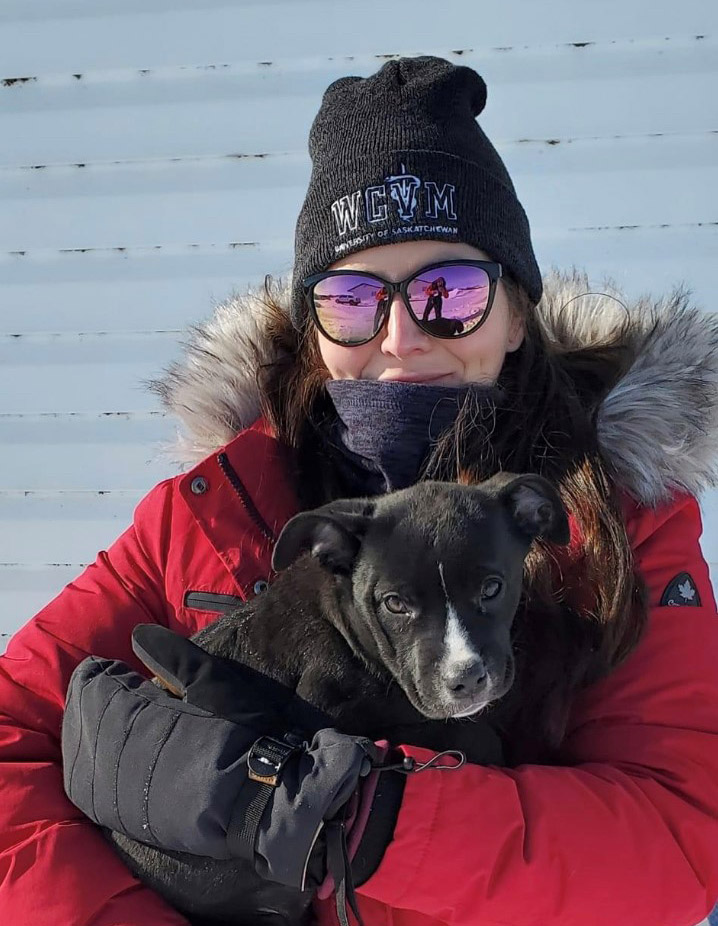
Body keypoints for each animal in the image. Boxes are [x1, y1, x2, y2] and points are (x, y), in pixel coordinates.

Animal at [107, 474, 572, 924]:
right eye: (394, 604)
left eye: (492, 588)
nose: (466, 678)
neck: (350, 629)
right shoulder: (325, 709)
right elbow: (472, 737)